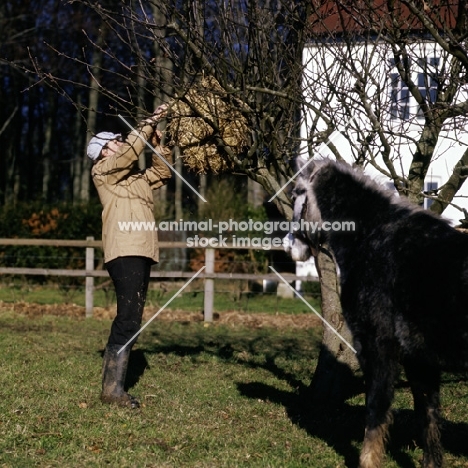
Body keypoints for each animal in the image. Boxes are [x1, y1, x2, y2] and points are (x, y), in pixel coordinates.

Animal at [288, 160, 468, 468]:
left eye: (296, 195)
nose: (292, 249)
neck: (373, 236)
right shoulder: (420, 361)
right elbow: (428, 419)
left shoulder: (377, 348)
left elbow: (375, 411)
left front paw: (367, 461)